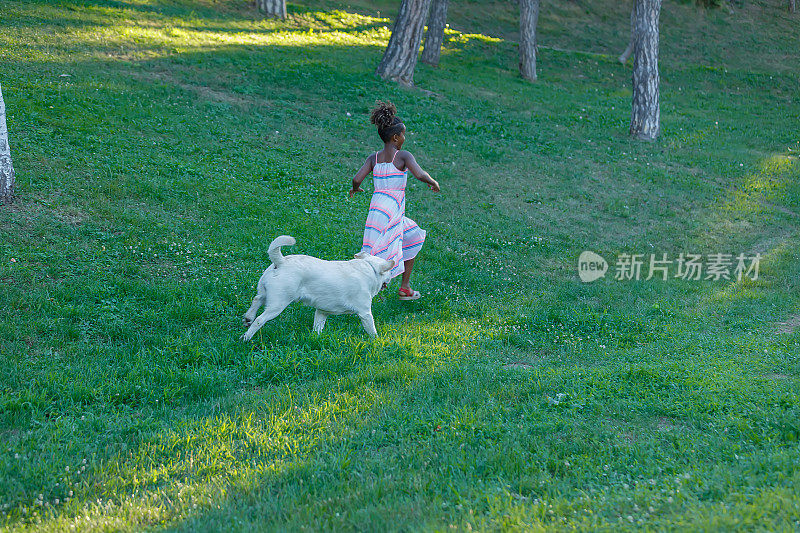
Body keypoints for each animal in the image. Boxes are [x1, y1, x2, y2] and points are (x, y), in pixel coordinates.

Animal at [241, 234, 396, 340]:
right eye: (389, 272)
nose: (392, 275)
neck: (369, 267)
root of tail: (281, 261)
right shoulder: (365, 313)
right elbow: (372, 330)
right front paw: (376, 340)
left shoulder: (322, 312)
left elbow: (317, 327)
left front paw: (316, 337)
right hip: (277, 304)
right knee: (259, 319)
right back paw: (247, 337)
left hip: (265, 292)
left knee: (257, 299)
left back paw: (248, 318)